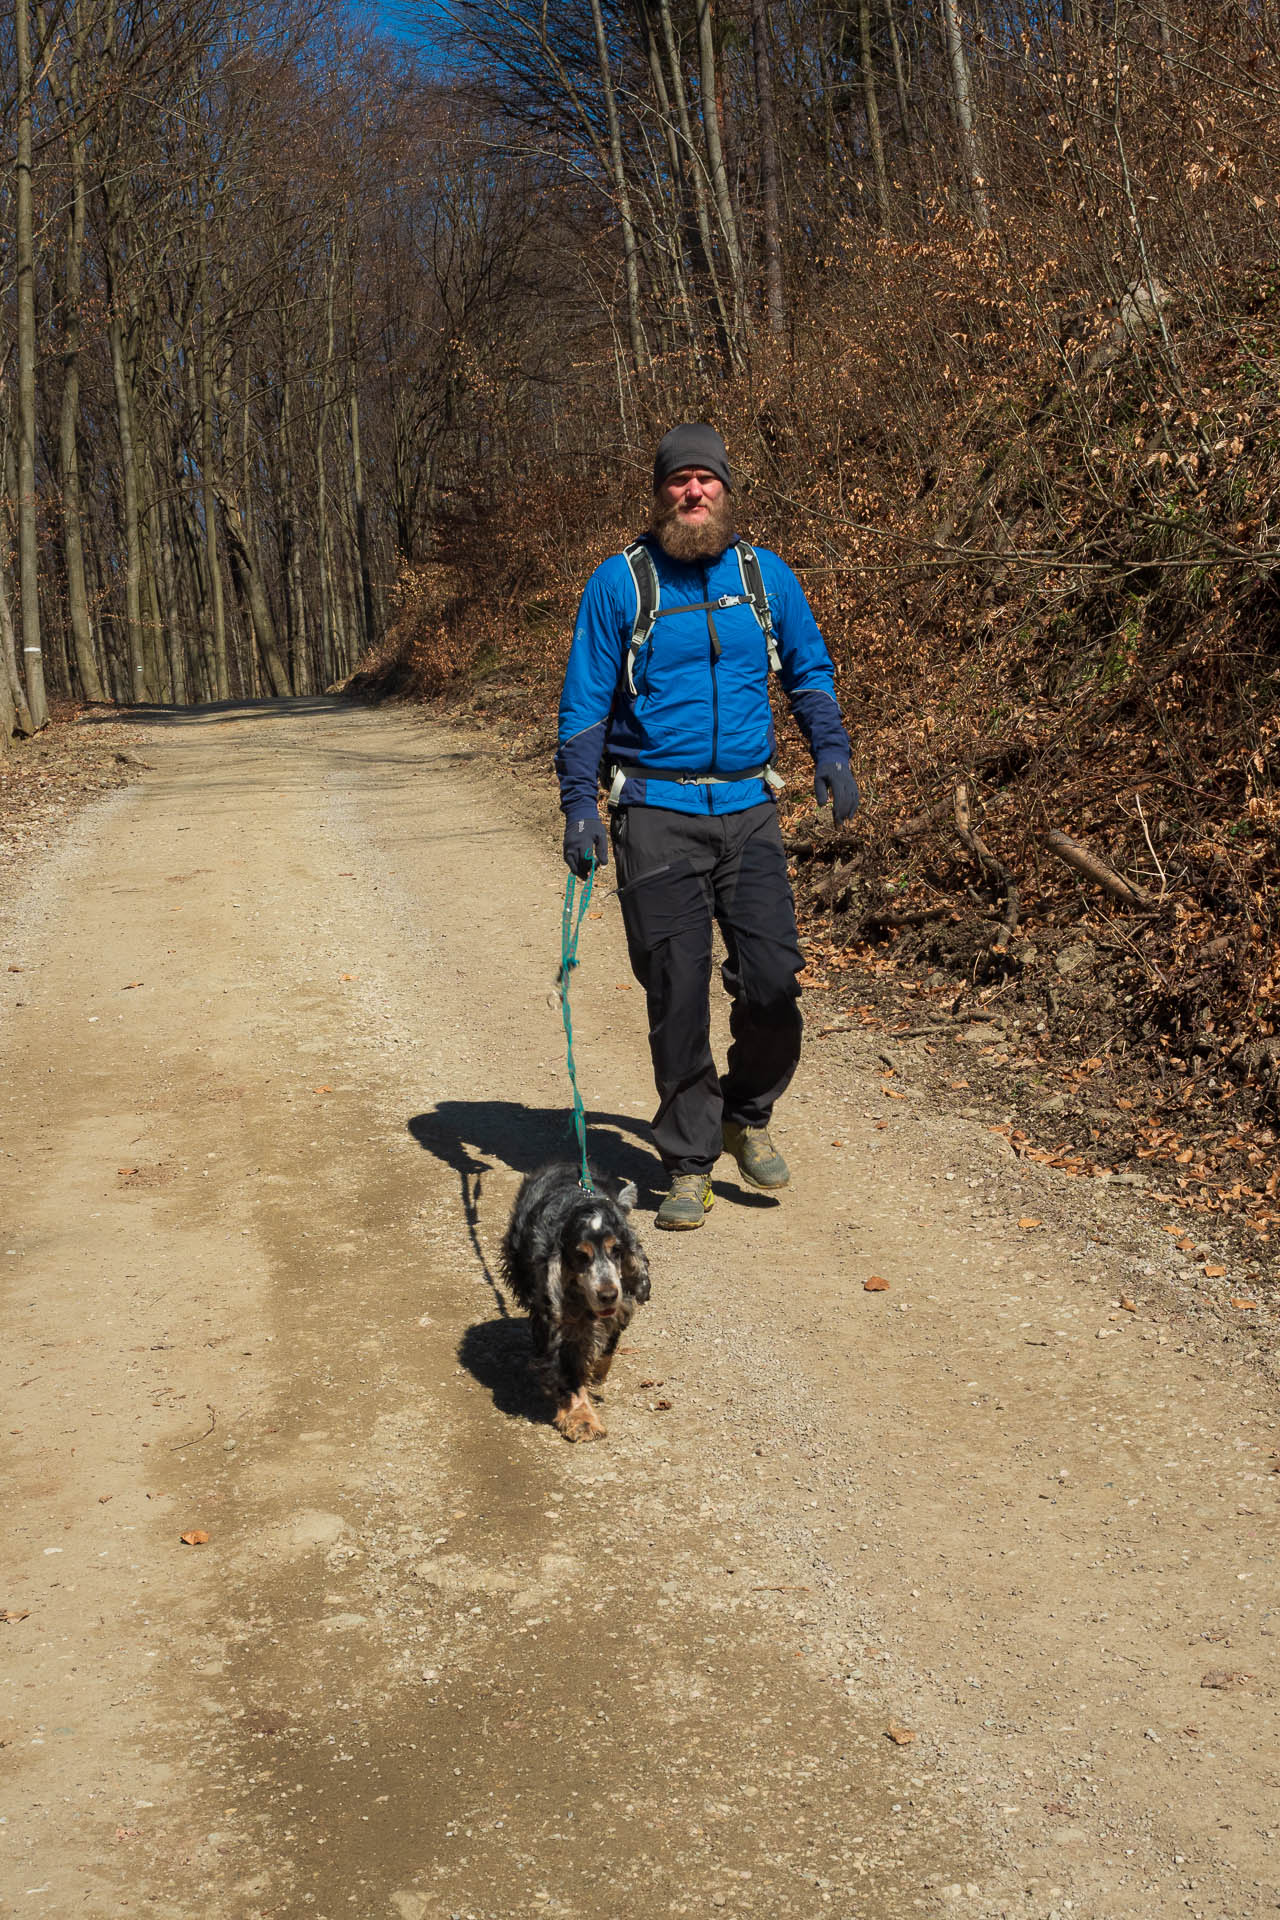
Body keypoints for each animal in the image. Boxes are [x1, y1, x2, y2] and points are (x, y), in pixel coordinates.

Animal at [498, 1159, 656, 1443]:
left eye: (617, 1250)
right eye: (581, 1256)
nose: (607, 1295)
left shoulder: (620, 1308)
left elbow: (607, 1346)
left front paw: (596, 1373)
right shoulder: (560, 1324)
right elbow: (569, 1373)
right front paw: (583, 1420)